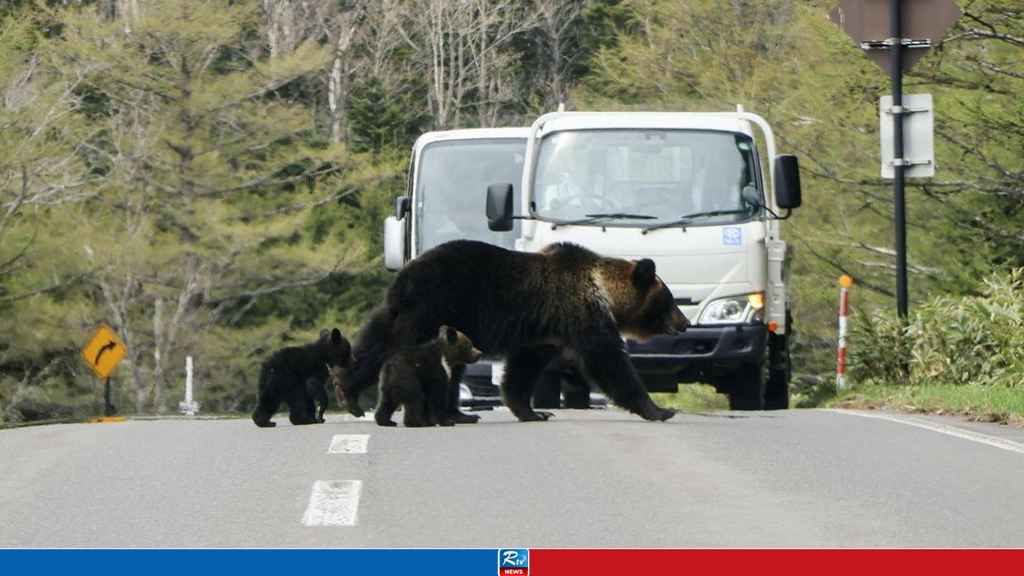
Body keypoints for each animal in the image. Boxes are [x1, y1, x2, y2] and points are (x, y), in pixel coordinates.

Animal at [340, 239, 689, 423]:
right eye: (669, 300)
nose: (684, 322)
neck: (603, 292)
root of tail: (404, 277)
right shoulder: (581, 316)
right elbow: (609, 362)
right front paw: (659, 409)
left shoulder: (546, 334)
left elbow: (523, 368)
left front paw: (532, 411)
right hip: (433, 309)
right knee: (399, 348)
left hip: (417, 315)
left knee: (376, 343)